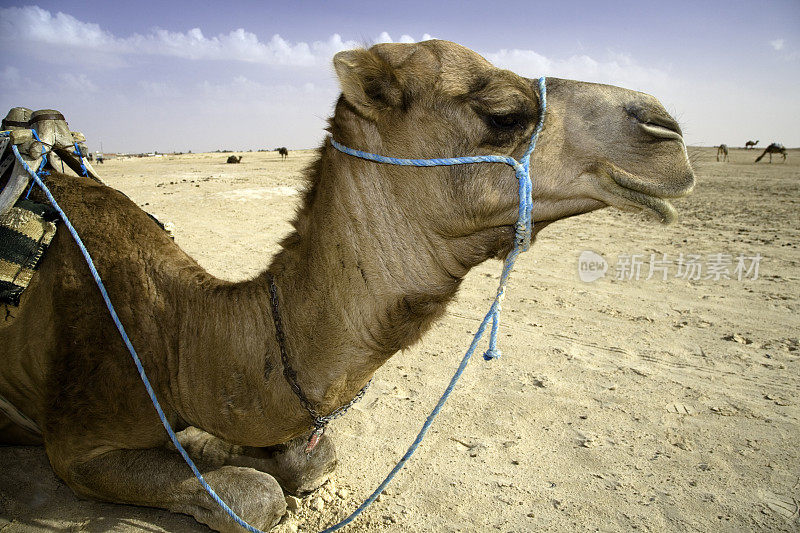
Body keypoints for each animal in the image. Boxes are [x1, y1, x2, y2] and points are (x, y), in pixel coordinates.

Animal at [0, 39, 692, 528]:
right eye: (501, 113)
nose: (669, 131)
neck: (176, 339)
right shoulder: (77, 447)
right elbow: (257, 495)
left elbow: (308, 459)